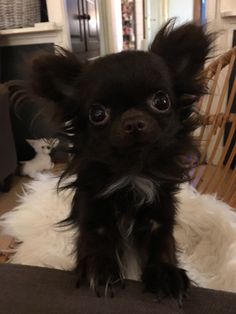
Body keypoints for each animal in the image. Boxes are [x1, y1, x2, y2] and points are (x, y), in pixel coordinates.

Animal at [29, 20, 212, 304]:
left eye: (161, 101)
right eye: (97, 114)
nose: (133, 121)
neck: (131, 175)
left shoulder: (159, 216)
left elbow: (162, 244)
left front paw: (166, 274)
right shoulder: (94, 214)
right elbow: (96, 241)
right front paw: (100, 270)